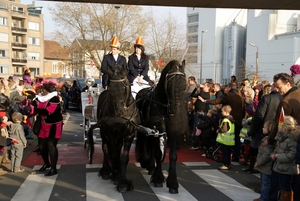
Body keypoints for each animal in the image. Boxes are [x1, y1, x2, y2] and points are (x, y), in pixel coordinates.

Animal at [86, 64, 141, 193]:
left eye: (125, 86)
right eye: (111, 87)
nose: (118, 113)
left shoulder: (129, 135)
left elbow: (123, 157)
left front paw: (122, 181)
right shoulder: (111, 134)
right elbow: (114, 153)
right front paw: (117, 177)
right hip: (103, 131)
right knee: (105, 148)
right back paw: (106, 170)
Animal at [135, 59, 189, 193]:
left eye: (184, 85)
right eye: (168, 84)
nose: (175, 112)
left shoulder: (172, 131)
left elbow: (173, 156)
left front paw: (173, 183)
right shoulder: (157, 129)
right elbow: (158, 154)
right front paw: (158, 179)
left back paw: (150, 166)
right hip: (146, 128)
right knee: (145, 142)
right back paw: (146, 162)